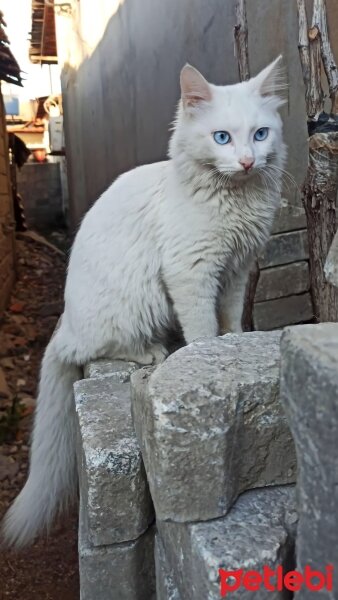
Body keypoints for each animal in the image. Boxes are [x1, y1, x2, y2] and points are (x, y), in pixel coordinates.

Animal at [3, 57, 286, 548]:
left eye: (260, 134)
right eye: (222, 138)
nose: (248, 161)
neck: (235, 201)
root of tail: (64, 324)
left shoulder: (235, 271)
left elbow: (231, 321)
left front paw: (235, 345)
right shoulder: (192, 271)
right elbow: (203, 329)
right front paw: (204, 354)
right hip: (136, 305)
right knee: (102, 349)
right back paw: (152, 352)